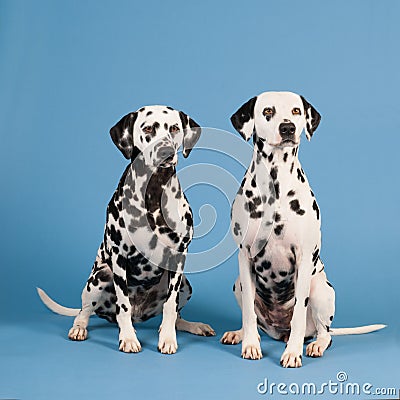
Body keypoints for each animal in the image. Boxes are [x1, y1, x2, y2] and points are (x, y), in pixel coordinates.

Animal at [38, 104, 216, 354]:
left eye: (174, 128)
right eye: (148, 128)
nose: (165, 152)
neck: (153, 192)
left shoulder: (179, 256)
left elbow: (170, 307)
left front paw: (168, 338)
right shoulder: (119, 257)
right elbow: (123, 305)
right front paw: (129, 338)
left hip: (185, 285)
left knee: (175, 315)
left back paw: (191, 326)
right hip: (100, 277)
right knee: (85, 311)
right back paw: (79, 328)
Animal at [220, 92, 386, 368]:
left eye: (296, 111)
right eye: (267, 111)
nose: (287, 128)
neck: (275, 185)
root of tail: (278, 330)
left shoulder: (304, 259)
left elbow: (298, 312)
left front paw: (293, 352)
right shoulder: (245, 256)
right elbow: (249, 315)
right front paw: (250, 344)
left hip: (321, 290)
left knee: (325, 332)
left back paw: (315, 344)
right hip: (238, 285)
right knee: (251, 316)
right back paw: (241, 334)